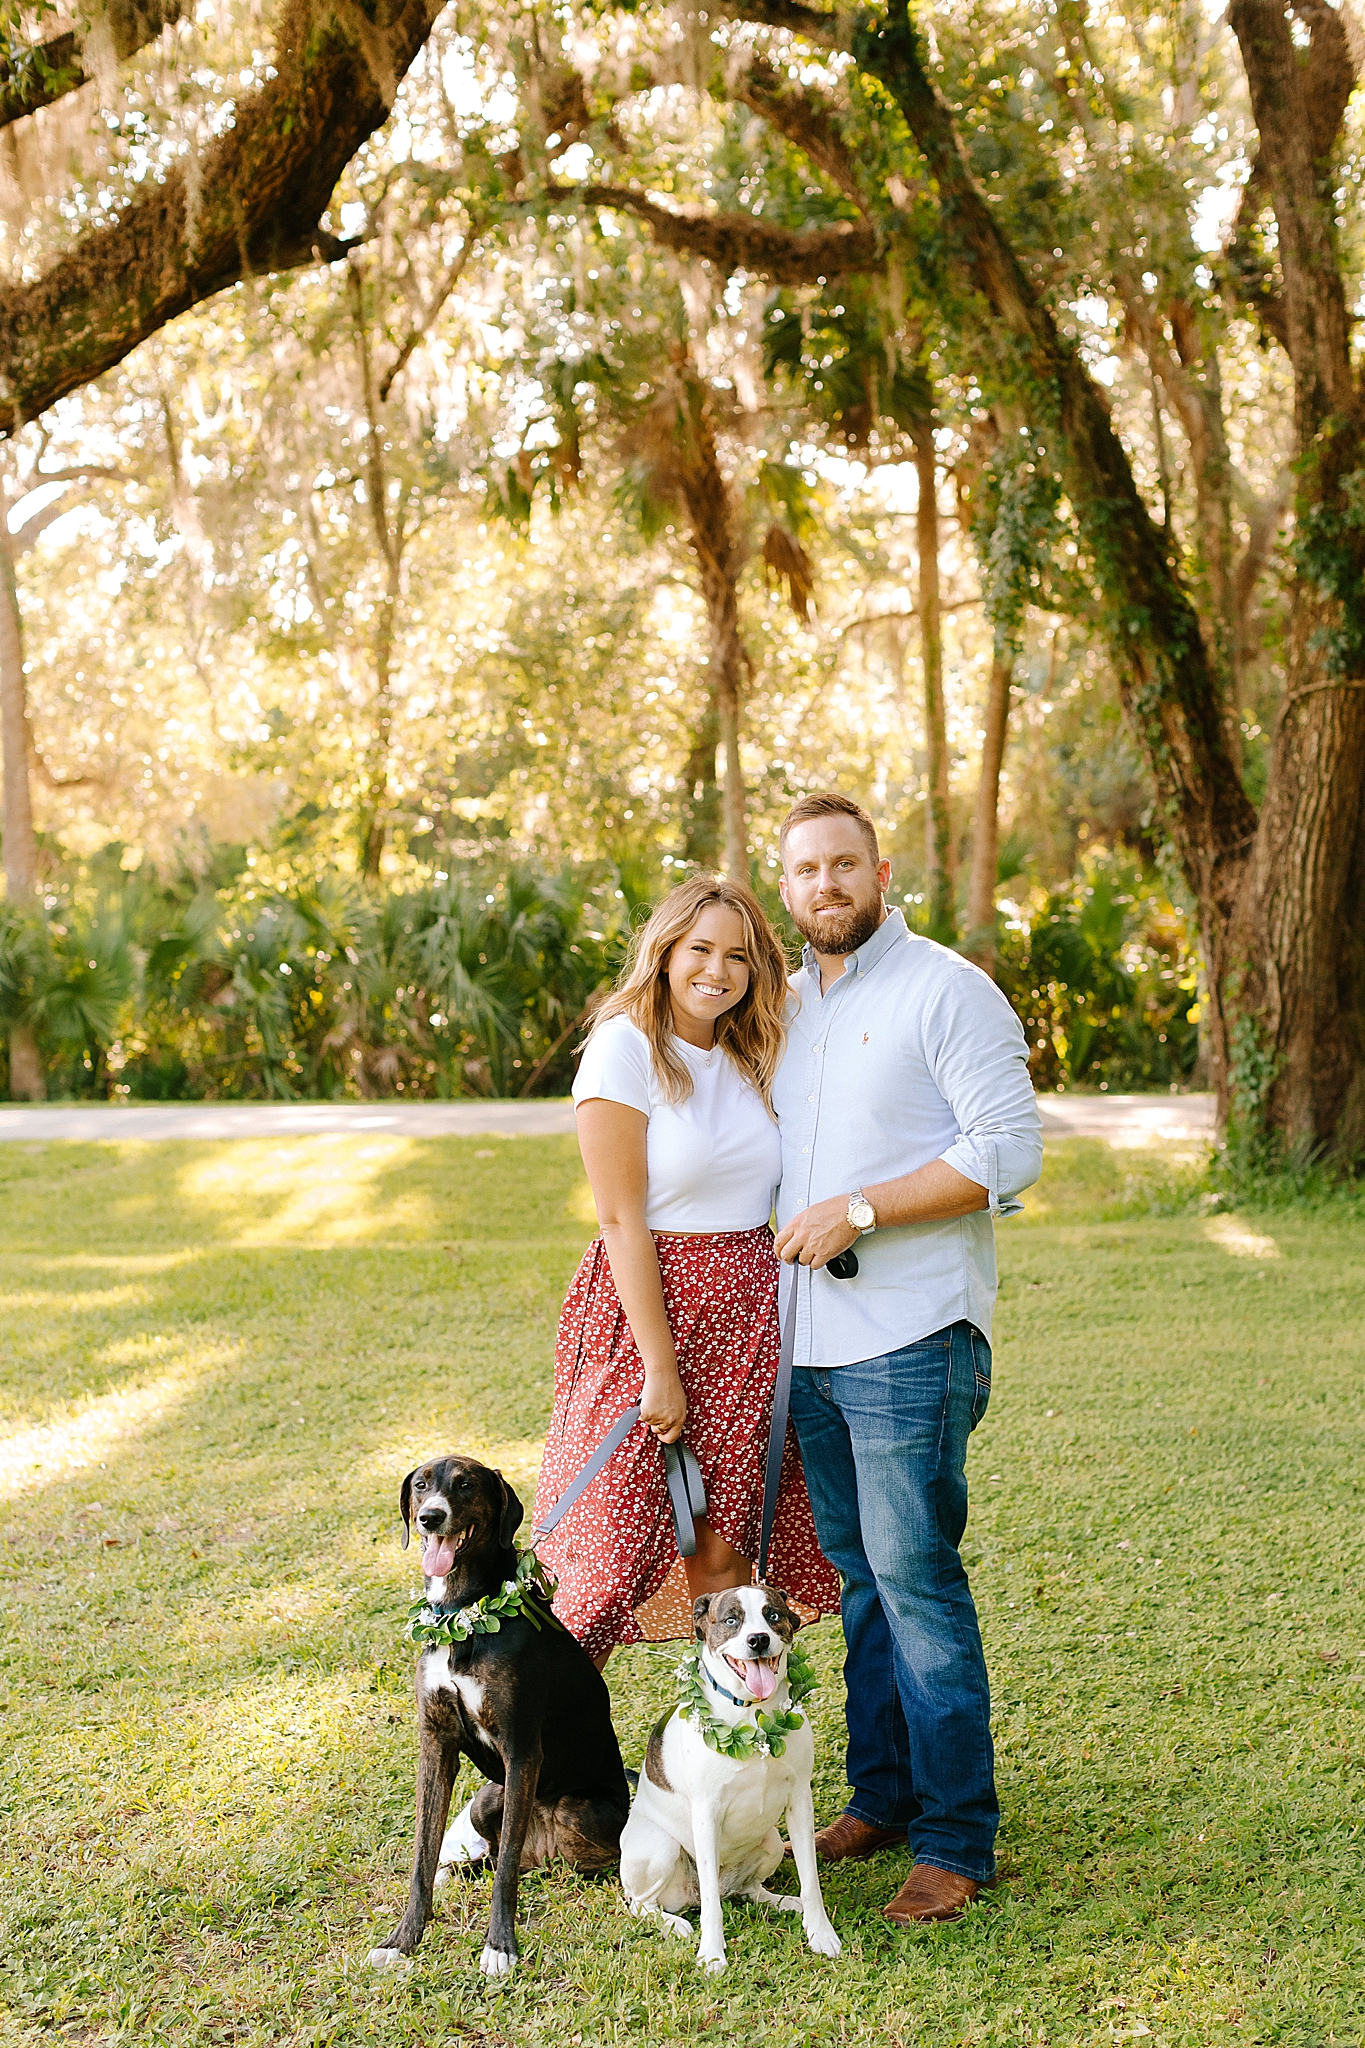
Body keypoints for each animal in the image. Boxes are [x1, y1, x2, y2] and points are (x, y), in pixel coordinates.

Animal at [622, 1572, 843, 1974]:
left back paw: (784, 1902)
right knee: (644, 1903)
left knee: (748, 1890)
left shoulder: (799, 1801)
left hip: (772, 1842)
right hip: (660, 1847)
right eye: (730, 1620)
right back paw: (674, 1923)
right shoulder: (706, 1814)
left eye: (773, 1615)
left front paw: (820, 1932)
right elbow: (711, 1904)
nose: (758, 1640)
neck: (753, 1715)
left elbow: (810, 1879)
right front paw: (712, 1953)